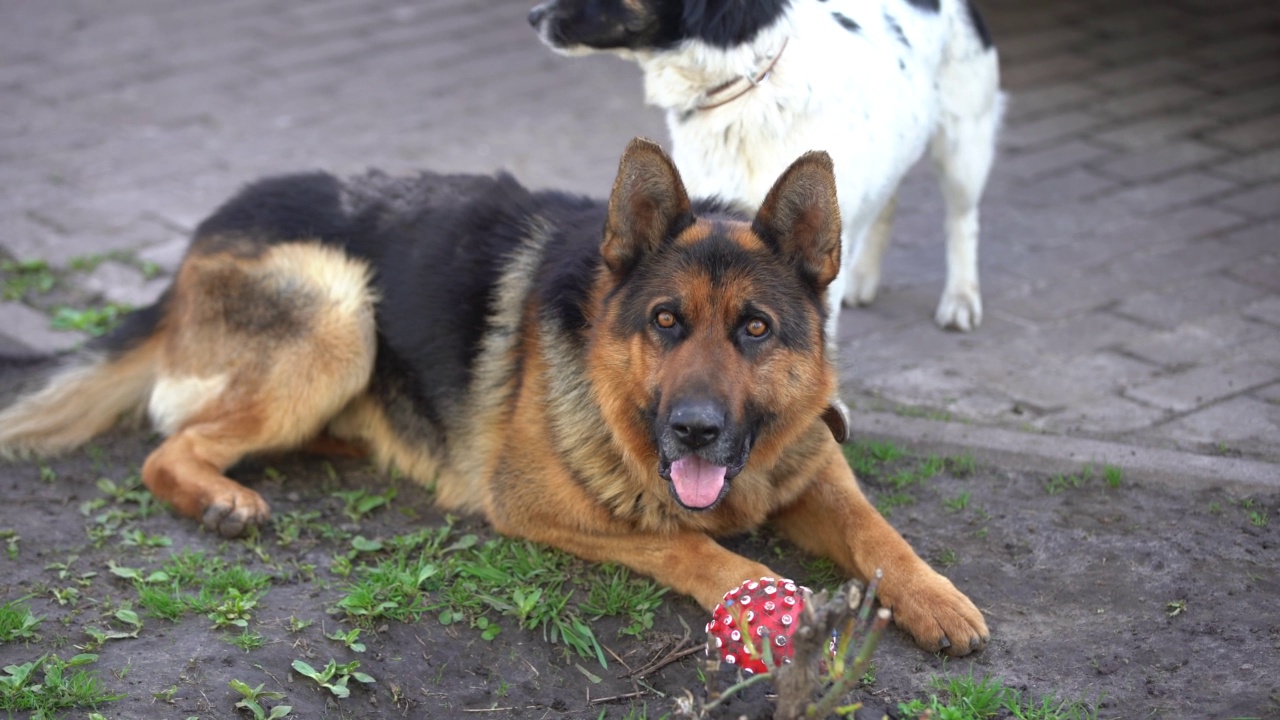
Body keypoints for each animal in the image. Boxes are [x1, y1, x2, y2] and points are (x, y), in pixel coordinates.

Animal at [0, 137, 988, 653]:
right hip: (340, 307)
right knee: (168, 444)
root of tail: (190, 250)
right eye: (666, 321)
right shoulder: (539, 502)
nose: (695, 433)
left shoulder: (815, 465)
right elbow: (682, 541)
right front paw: (760, 588)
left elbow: (879, 533)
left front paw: (936, 597)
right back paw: (222, 498)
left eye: (754, 329)